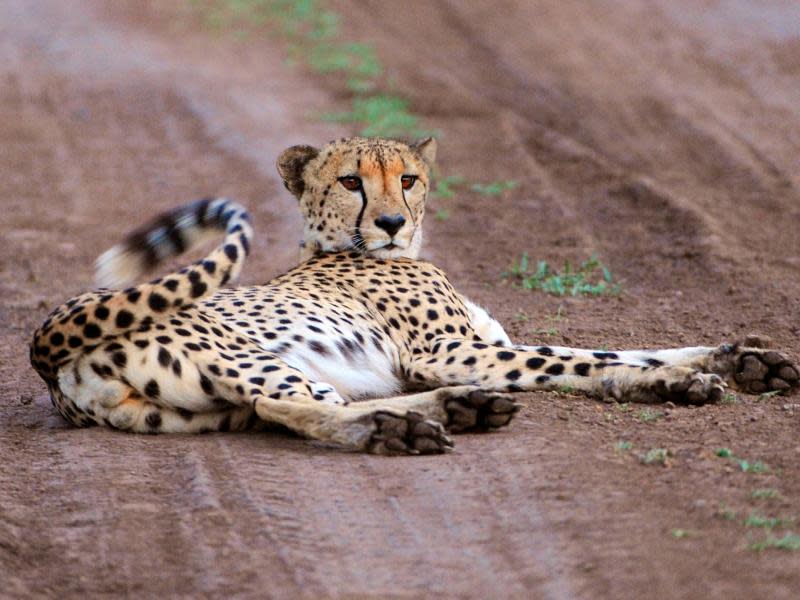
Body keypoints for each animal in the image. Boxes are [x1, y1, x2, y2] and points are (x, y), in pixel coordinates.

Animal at [28, 136, 796, 454]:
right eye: (351, 182)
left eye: (409, 179)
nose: (393, 222)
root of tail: (49, 347)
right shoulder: (446, 351)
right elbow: (581, 361)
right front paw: (678, 384)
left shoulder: (483, 343)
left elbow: (623, 347)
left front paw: (740, 359)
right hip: (258, 362)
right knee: (300, 409)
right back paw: (401, 428)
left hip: (199, 413)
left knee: (286, 414)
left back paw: (458, 411)